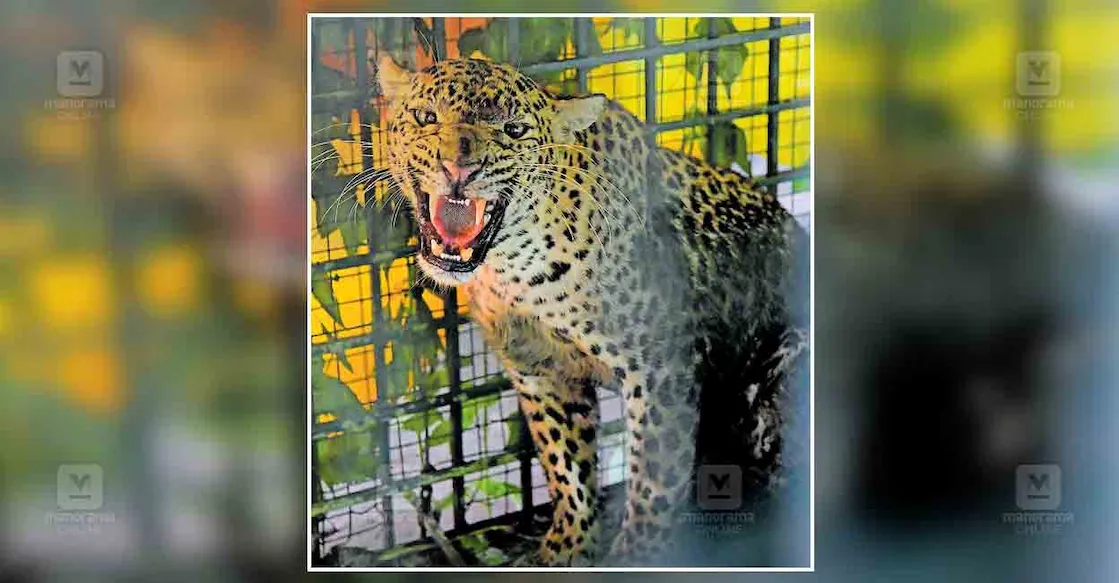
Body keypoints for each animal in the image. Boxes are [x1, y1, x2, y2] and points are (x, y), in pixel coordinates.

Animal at [375, 56, 809, 567]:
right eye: (426, 118)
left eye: (514, 130)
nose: (458, 167)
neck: (511, 270)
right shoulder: (538, 369)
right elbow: (566, 467)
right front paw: (566, 548)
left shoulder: (660, 370)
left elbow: (652, 484)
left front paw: (639, 556)